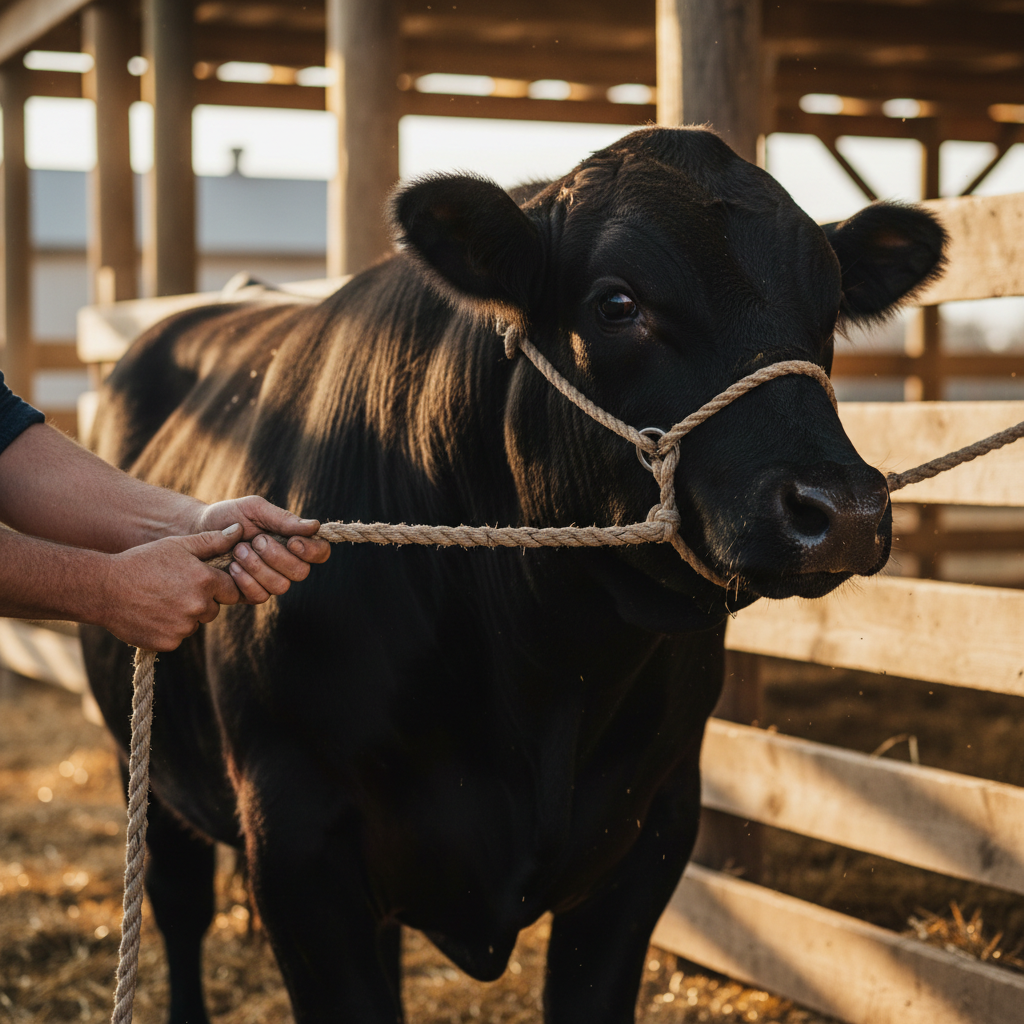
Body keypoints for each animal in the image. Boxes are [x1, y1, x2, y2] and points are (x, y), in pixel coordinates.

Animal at [81, 127, 946, 1024]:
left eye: (830, 307)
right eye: (616, 304)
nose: (843, 508)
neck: (546, 667)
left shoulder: (656, 824)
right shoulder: (295, 839)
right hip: (145, 755)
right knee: (179, 904)